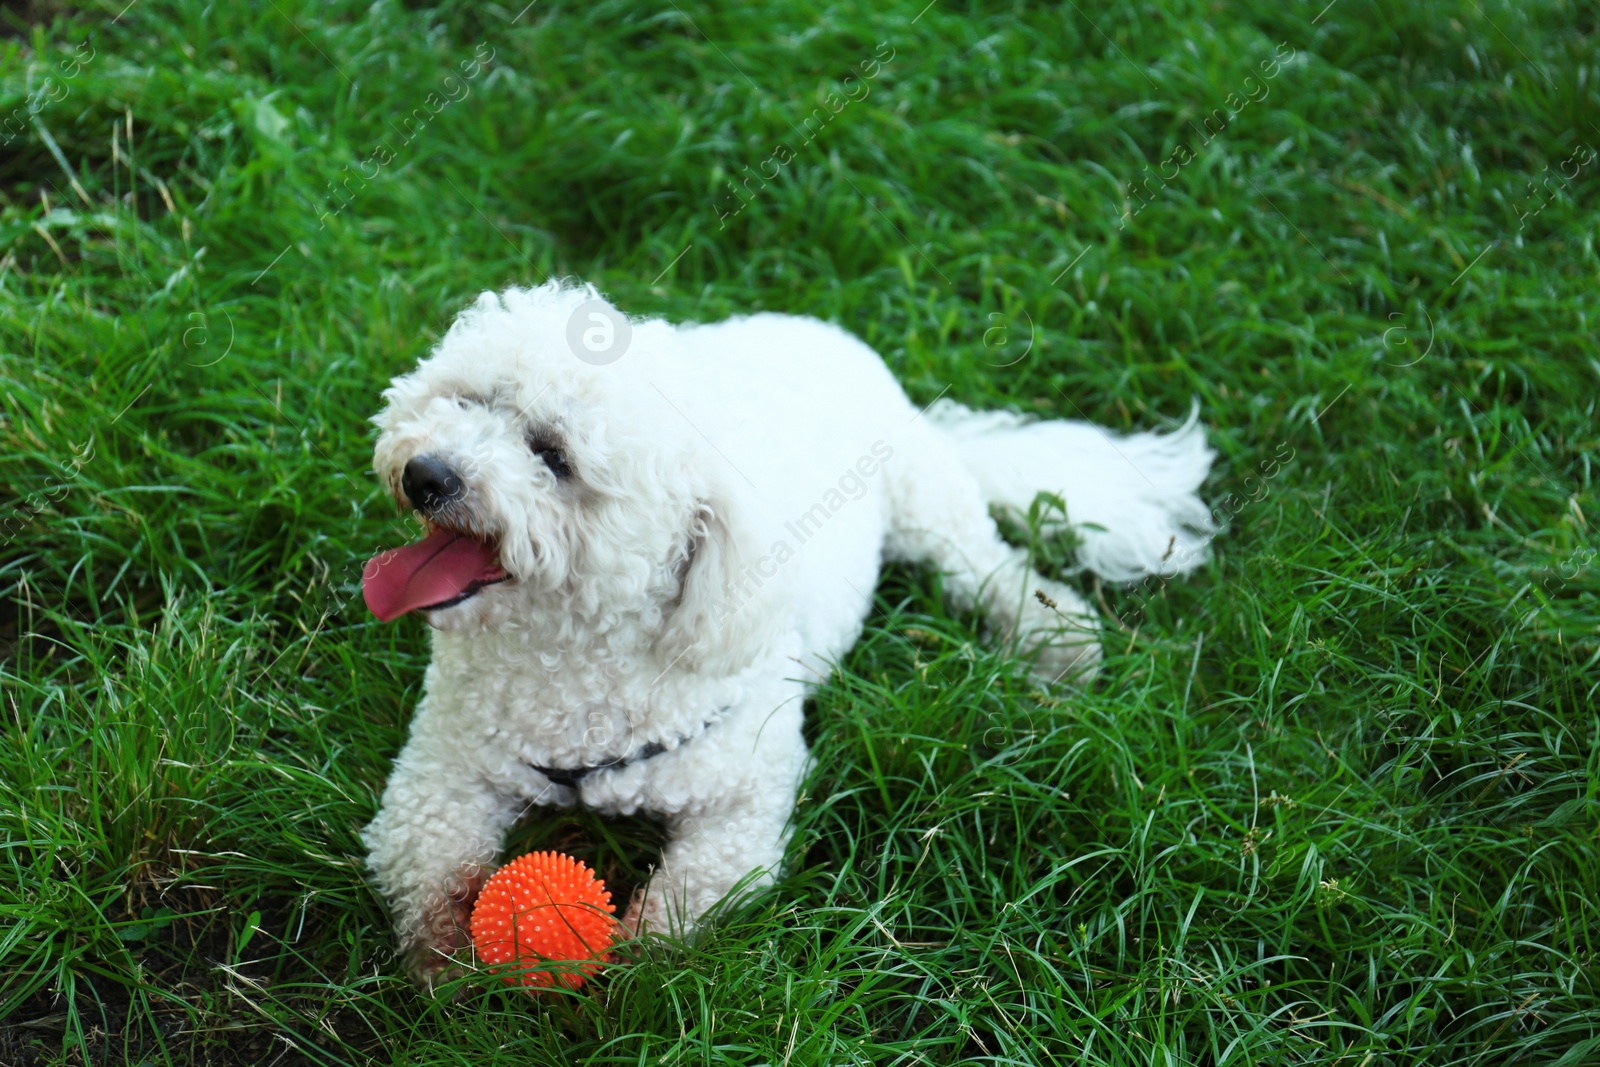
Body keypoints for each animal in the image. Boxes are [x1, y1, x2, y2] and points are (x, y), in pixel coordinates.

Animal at [360, 281, 1209, 985]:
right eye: (468, 399)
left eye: (553, 455)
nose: (427, 473)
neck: (573, 661)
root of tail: (828, 334)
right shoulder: (443, 767)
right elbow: (426, 858)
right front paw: (445, 960)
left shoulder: (746, 797)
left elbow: (685, 903)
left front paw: (632, 977)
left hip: (925, 500)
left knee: (987, 563)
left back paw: (1052, 639)